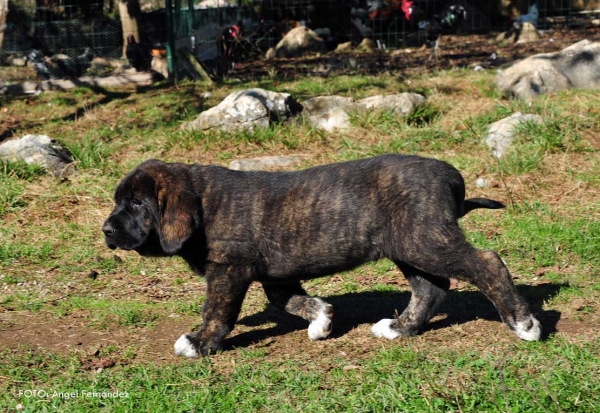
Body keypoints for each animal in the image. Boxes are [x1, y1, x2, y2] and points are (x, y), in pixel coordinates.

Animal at [101, 154, 540, 358]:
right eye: (120, 202)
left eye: (137, 203)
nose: (106, 231)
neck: (204, 202)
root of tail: (450, 175)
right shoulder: (274, 275)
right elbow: (290, 300)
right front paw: (322, 320)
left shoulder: (228, 269)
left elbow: (217, 310)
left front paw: (200, 342)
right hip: (410, 246)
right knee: (431, 289)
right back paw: (400, 327)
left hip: (426, 240)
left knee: (486, 262)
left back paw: (523, 323)